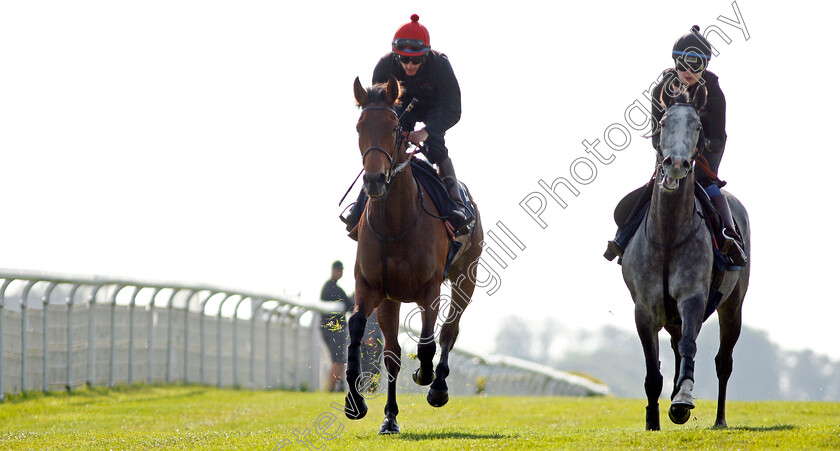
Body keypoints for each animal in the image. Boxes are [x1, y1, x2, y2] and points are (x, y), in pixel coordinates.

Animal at [342, 75, 486, 434]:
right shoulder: (371, 287)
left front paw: (426, 374)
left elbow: (427, 342)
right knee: (392, 354)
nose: (374, 180)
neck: (395, 224)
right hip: (391, 299)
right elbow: (357, 328)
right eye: (359, 126)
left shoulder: (429, 289)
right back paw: (390, 417)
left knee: (448, 330)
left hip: (466, 277)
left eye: (395, 127)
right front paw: (355, 402)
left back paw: (437, 386)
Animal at [620, 85, 752, 430]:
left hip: (732, 306)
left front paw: (683, 399)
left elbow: (691, 347)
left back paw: (719, 419)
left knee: (723, 361)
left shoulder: (693, 298)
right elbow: (653, 373)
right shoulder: (644, 309)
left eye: (697, 126)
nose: (676, 163)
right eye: (664, 122)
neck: (668, 235)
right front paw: (653, 421)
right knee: (678, 348)